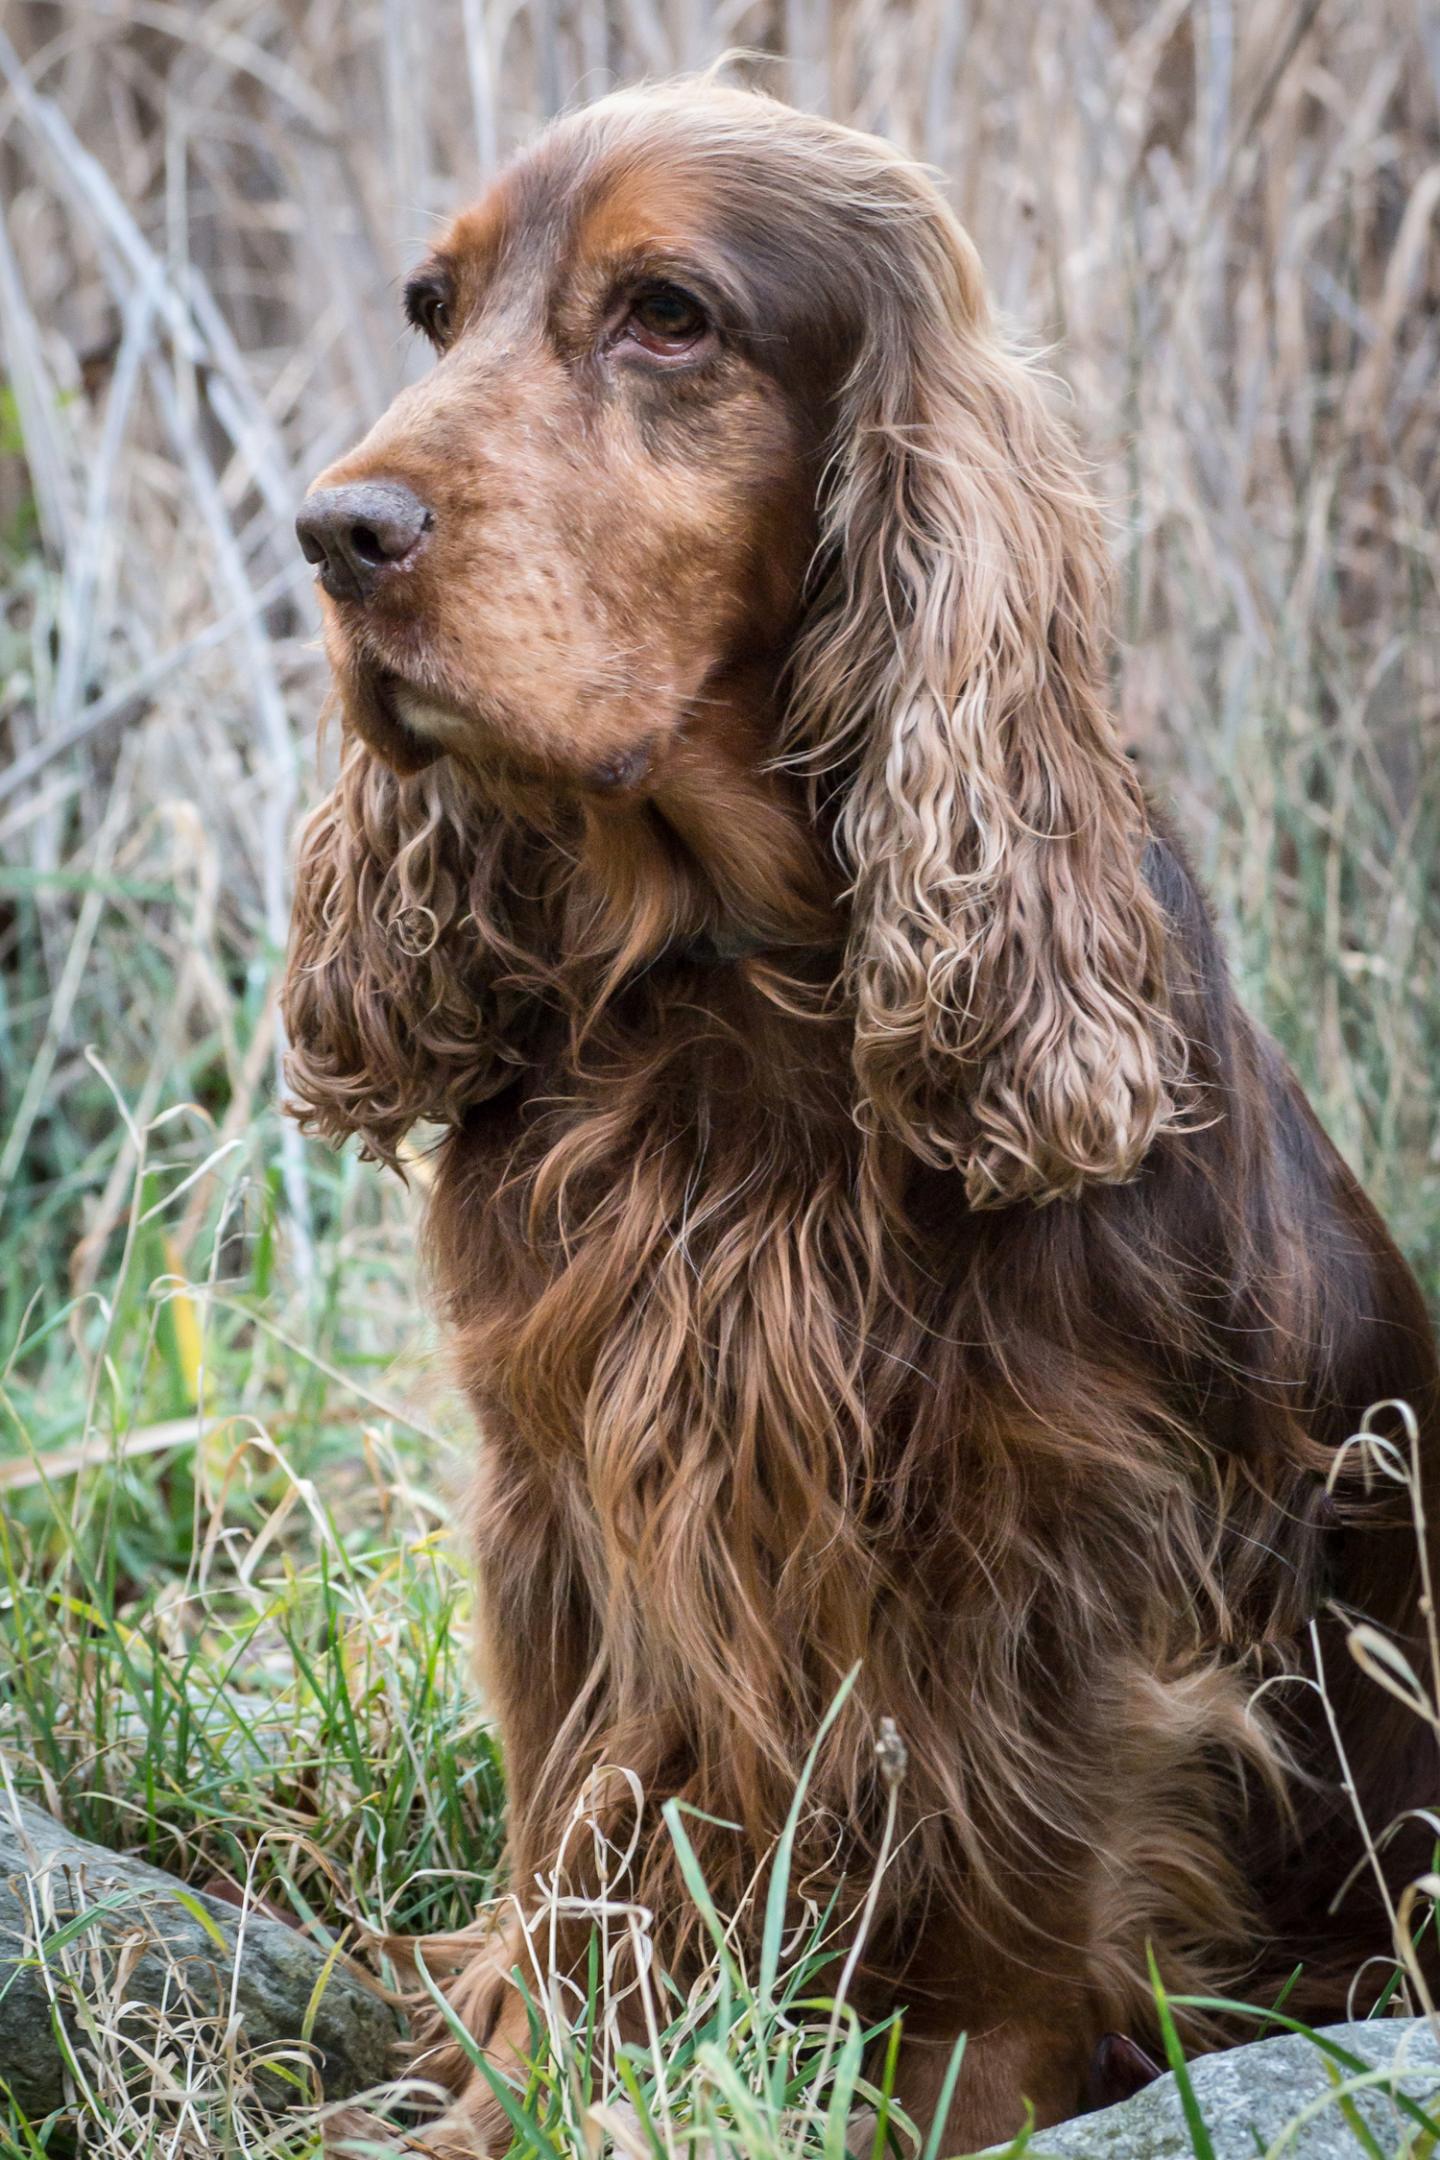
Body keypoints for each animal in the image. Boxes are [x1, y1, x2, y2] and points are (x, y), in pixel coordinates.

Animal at [284, 76, 1440, 2151]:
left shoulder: (1048, 1542)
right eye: (434, 307)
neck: (738, 977)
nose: (335, 532)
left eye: (667, 316)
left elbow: (1006, 1915)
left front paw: (957, 2111)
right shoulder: (563, 1494)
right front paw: (512, 2088)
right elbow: (570, 1847)